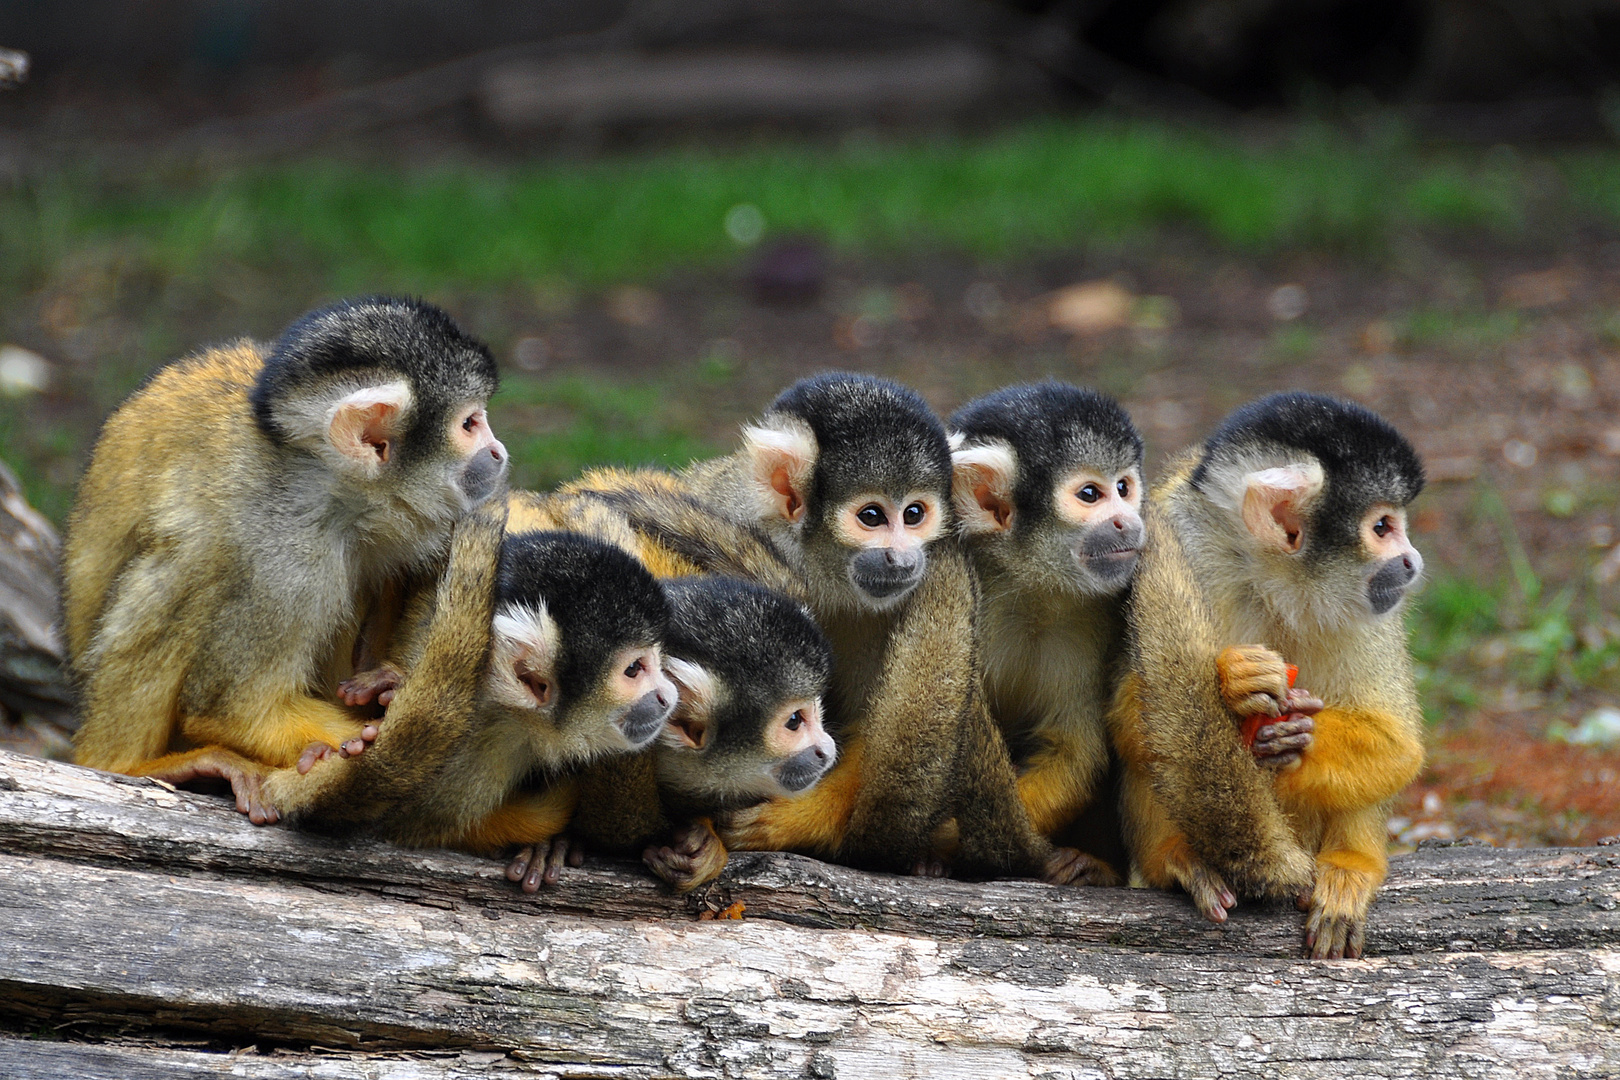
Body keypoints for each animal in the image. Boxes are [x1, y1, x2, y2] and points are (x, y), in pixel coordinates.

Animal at [64, 297, 505, 819]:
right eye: (470, 424)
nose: (499, 451)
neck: (325, 484)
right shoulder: (290, 558)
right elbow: (233, 708)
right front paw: (357, 742)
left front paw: (389, 685)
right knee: (186, 564)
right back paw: (128, 764)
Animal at [952, 382, 1146, 887]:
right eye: (1091, 494)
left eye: (1124, 488)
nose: (1128, 520)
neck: (1033, 585)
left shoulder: (1094, 614)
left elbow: (1074, 749)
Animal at [1121, 393, 1425, 958]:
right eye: (1382, 528)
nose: (1412, 561)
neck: (1277, 583)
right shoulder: (1182, 538)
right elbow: (1125, 715)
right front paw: (1236, 682)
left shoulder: (1377, 608)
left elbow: (1398, 746)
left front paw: (1298, 742)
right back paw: (1175, 858)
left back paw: (1351, 864)